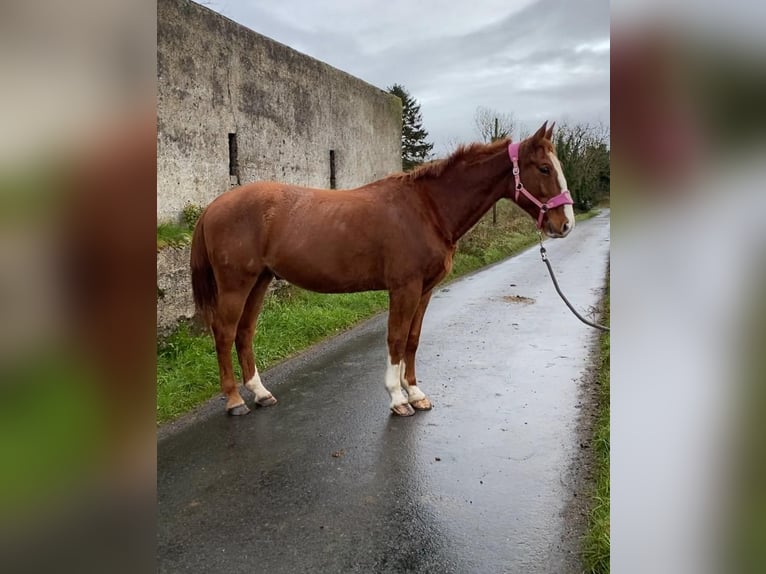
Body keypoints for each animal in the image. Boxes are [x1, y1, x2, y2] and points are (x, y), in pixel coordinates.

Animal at [192, 121, 576, 418]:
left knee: (244, 333)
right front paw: (397, 399)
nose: (565, 224)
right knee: (224, 333)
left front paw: (416, 393)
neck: (427, 209)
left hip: (259, 281)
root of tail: (214, 206)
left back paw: (260, 393)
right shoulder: (404, 288)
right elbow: (395, 338)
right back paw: (235, 401)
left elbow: (412, 340)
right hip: (236, 285)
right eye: (544, 168)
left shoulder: (425, 290)